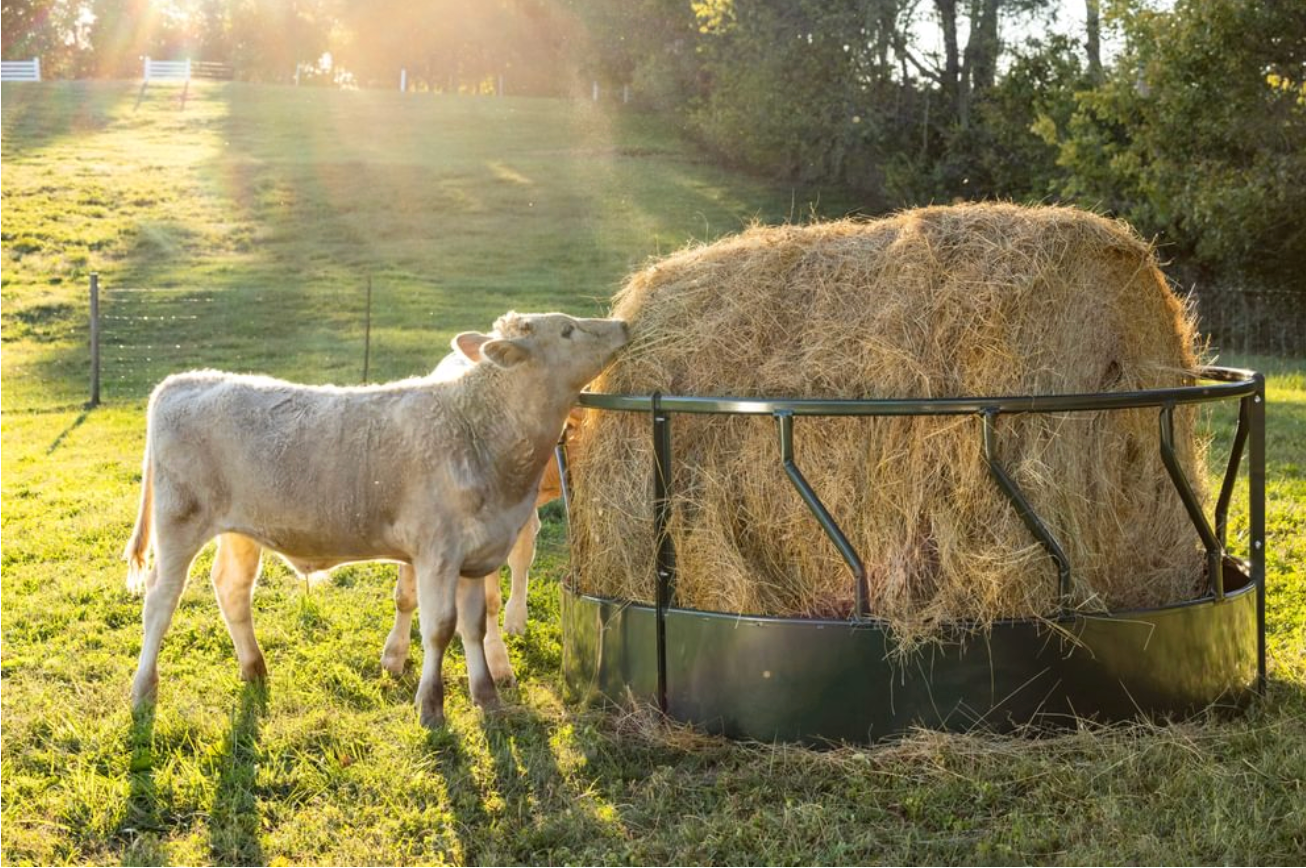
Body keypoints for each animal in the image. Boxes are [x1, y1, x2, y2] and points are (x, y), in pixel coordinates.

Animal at [123, 311, 628, 727]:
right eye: (567, 329)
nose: (622, 325)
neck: (479, 428)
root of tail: (188, 379)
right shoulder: (437, 554)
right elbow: (438, 628)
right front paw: (431, 706)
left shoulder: (477, 555)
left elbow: (473, 626)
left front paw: (487, 698)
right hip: (179, 523)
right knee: (160, 601)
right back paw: (144, 690)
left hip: (241, 530)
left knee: (232, 589)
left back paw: (255, 668)